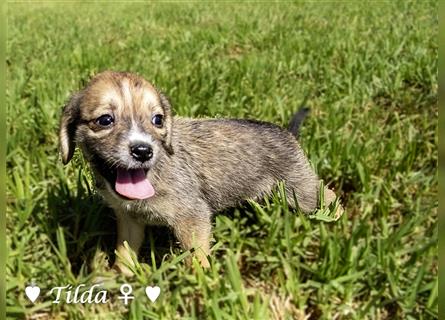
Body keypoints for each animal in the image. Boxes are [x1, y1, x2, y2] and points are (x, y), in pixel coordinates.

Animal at [59, 70, 342, 276]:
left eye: (158, 120)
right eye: (105, 120)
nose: (143, 151)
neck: (152, 173)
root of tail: (287, 133)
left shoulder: (192, 216)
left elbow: (196, 256)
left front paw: (202, 284)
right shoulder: (129, 219)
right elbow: (125, 251)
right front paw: (122, 276)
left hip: (300, 189)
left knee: (327, 196)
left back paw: (337, 222)